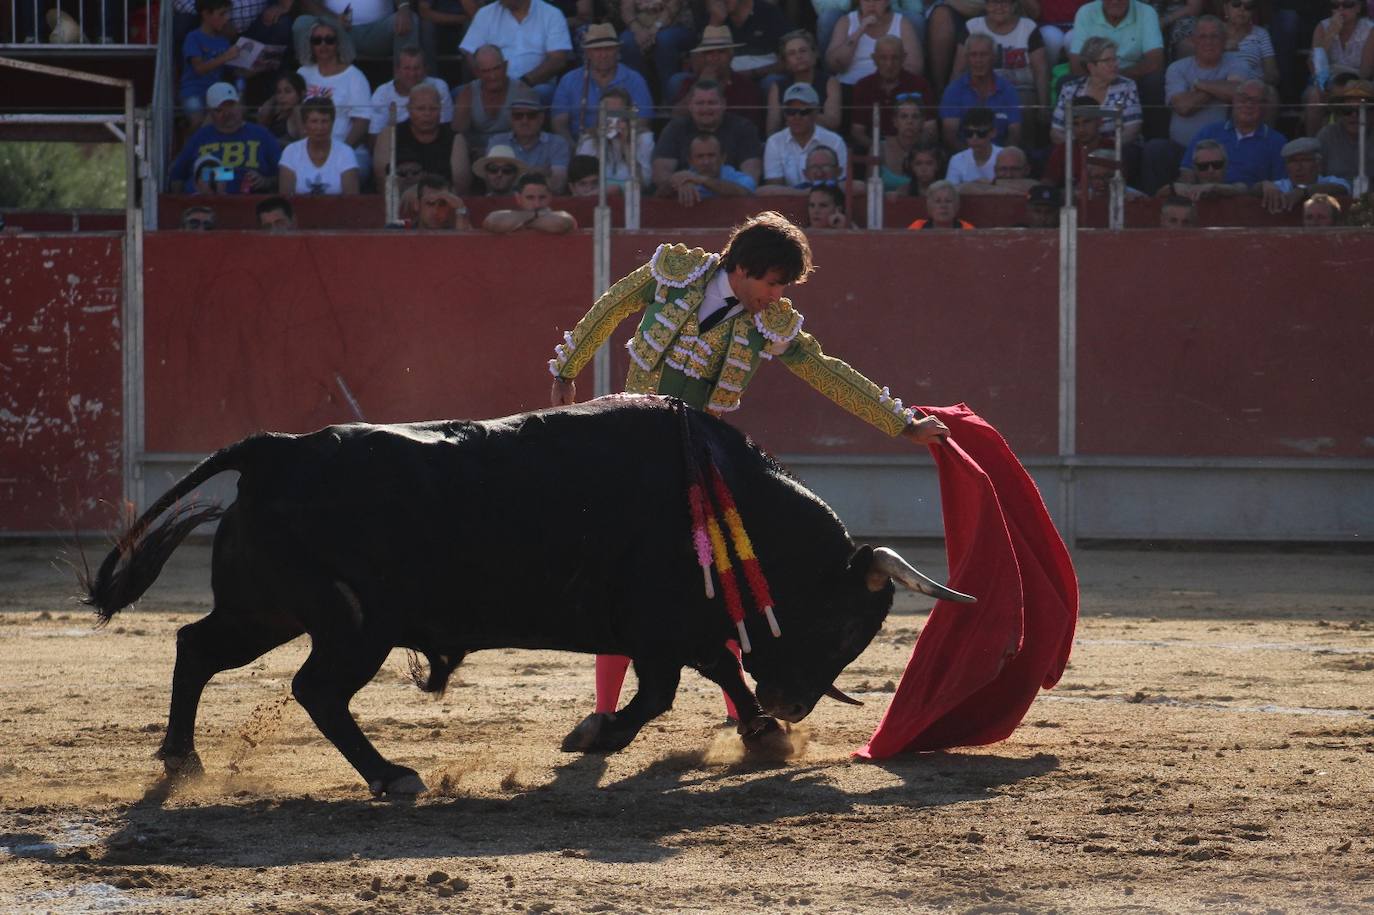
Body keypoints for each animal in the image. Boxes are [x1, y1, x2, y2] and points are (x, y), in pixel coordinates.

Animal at [85, 395, 972, 796]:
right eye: (849, 620)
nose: (795, 703)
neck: (728, 495)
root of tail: (273, 450)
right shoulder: (658, 625)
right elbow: (661, 691)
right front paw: (596, 733)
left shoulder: (681, 626)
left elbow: (717, 669)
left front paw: (761, 732)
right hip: (349, 626)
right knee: (316, 689)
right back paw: (392, 775)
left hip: (264, 611)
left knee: (196, 646)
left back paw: (183, 757)